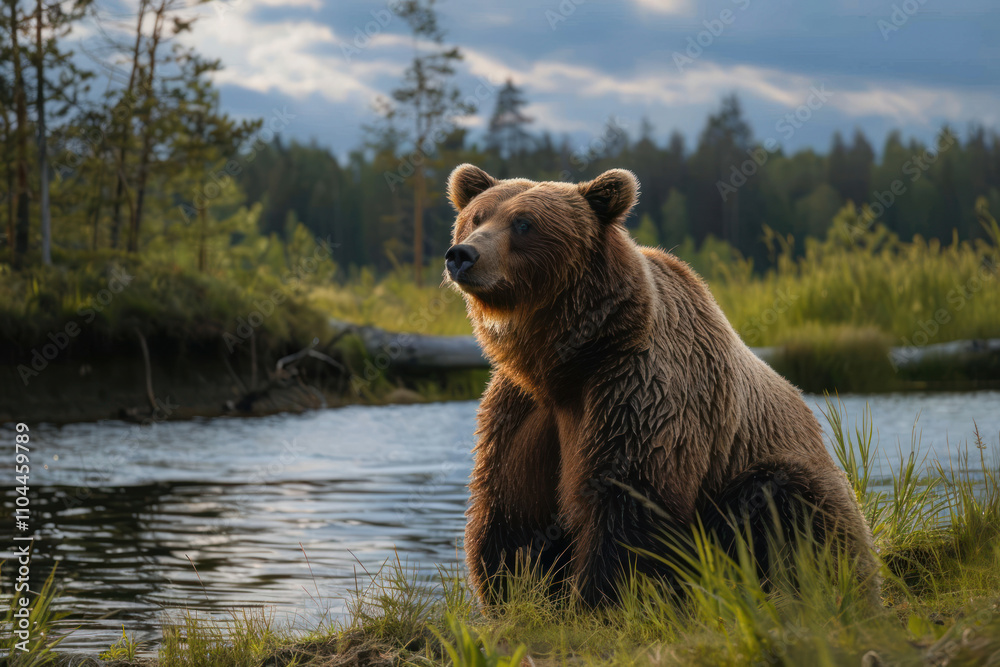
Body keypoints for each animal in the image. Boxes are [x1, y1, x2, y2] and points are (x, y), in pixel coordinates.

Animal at [442, 163, 880, 607]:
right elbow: (511, 507)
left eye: (524, 223)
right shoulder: (524, 409)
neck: (567, 360)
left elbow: (629, 501)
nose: (463, 255)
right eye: (477, 217)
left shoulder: (640, 387)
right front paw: (513, 592)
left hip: (788, 477)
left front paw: (600, 599)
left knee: (784, 501)